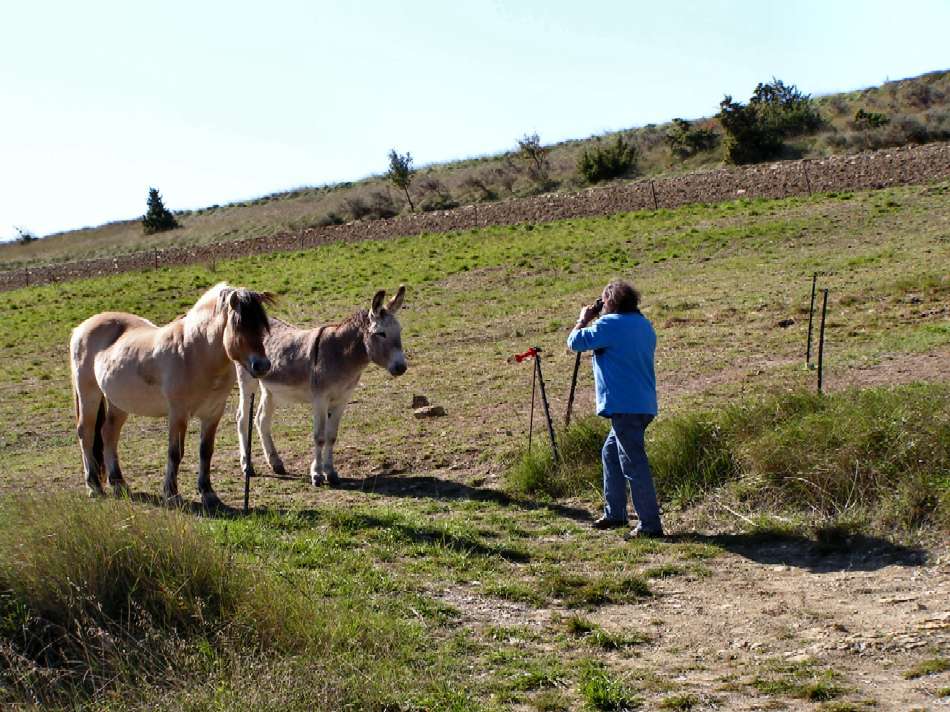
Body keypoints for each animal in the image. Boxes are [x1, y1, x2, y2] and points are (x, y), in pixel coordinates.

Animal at [69, 280, 272, 508]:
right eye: (239, 325)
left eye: (262, 325)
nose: (262, 366)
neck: (194, 353)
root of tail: (80, 328)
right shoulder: (178, 413)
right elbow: (175, 452)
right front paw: (172, 494)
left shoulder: (213, 413)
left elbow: (206, 451)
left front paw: (209, 494)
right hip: (89, 394)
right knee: (86, 433)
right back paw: (94, 486)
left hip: (118, 403)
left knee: (108, 434)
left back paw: (119, 484)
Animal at [236, 286, 408, 486]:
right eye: (381, 333)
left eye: (400, 330)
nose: (401, 367)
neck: (342, 355)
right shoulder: (320, 399)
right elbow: (319, 437)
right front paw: (317, 474)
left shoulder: (342, 399)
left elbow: (331, 436)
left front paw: (331, 473)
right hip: (247, 381)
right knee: (242, 418)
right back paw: (247, 466)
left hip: (270, 388)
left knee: (261, 420)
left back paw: (276, 463)